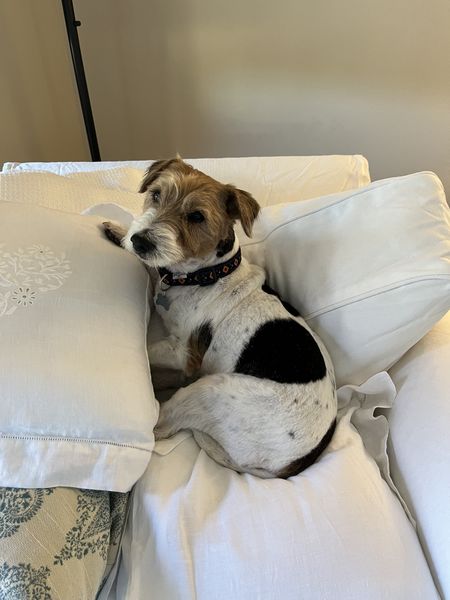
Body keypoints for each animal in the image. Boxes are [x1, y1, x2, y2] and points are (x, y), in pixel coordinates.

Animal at [103, 158, 338, 478]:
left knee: (161, 424)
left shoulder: (183, 353)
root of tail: (297, 463)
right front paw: (119, 231)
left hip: (210, 390)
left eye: (196, 217)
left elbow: (148, 349)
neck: (206, 275)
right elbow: (154, 268)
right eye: (156, 194)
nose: (140, 241)